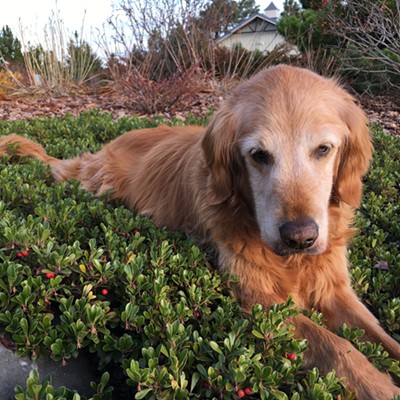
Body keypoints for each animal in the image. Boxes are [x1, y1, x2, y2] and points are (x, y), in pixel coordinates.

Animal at [0, 65, 400, 396]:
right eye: (258, 155)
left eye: (323, 149)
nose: (300, 238)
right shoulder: (259, 302)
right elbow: (336, 344)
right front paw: (379, 385)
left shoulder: (334, 288)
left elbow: (383, 337)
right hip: (93, 183)